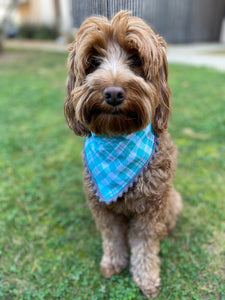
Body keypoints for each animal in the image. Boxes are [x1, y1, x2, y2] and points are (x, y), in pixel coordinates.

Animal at [63, 11, 183, 298]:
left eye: (136, 59)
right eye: (93, 61)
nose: (114, 93)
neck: (117, 138)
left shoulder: (151, 208)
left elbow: (144, 245)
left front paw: (146, 278)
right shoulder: (102, 206)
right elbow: (113, 237)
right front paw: (112, 262)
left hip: (172, 199)